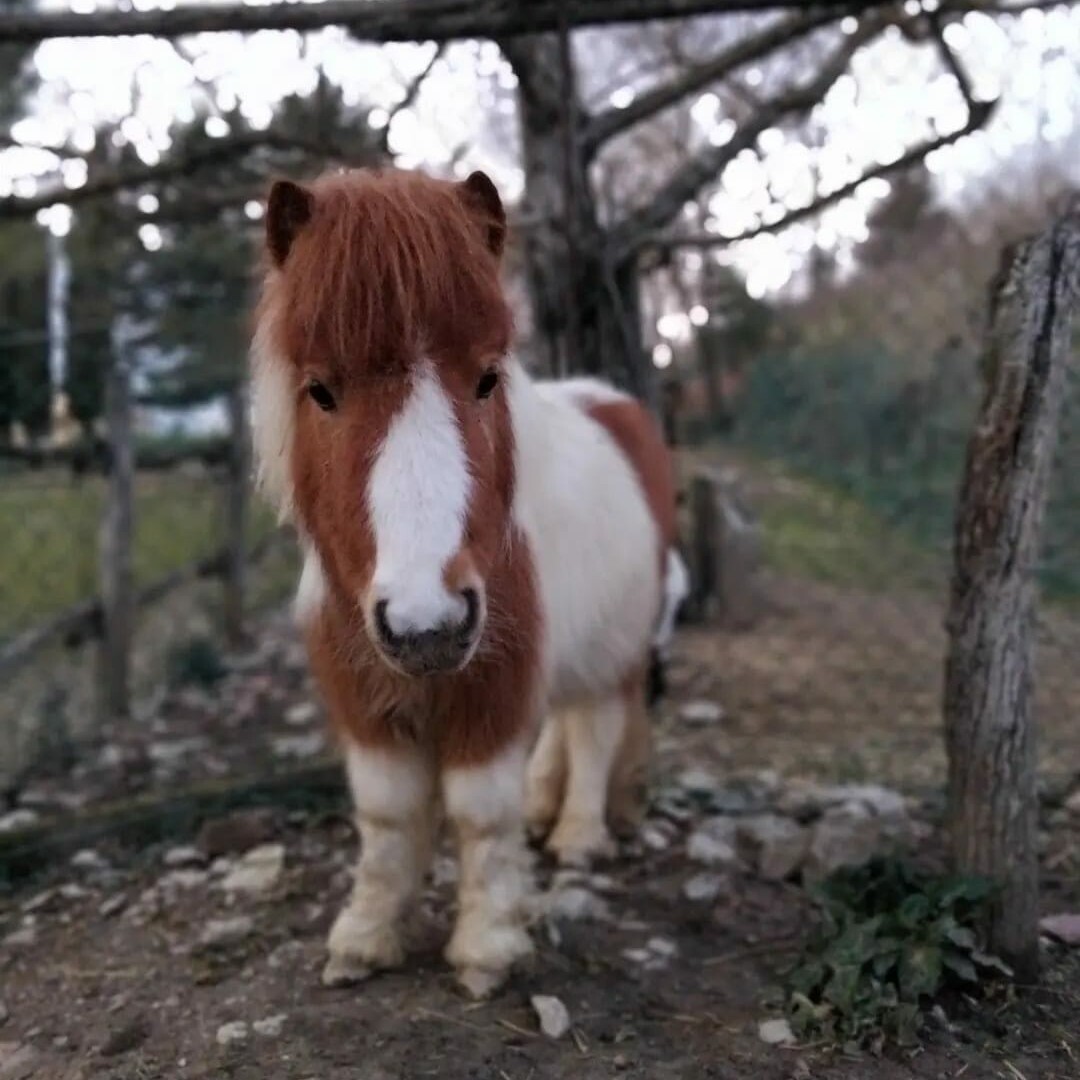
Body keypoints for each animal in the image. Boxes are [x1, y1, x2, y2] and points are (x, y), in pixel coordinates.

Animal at [248, 164, 686, 997]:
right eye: (320, 390)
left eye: (488, 378)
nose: (430, 624)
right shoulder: (364, 696)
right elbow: (386, 814)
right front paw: (365, 937)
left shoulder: (493, 684)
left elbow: (481, 811)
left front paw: (487, 948)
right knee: (566, 723)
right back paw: (548, 807)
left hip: (615, 649)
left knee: (597, 728)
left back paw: (578, 832)